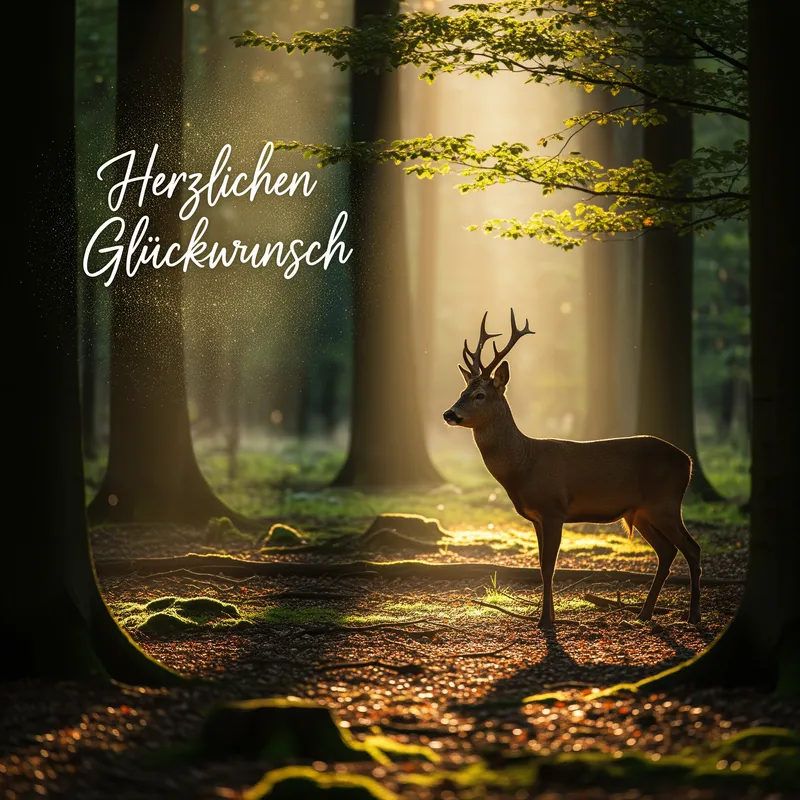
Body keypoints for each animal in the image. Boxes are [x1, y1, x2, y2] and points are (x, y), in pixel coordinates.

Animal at [443, 309, 701, 629]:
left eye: (480, 395)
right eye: (462, 390)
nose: (449, 413)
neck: (524, 465)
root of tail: (687, 461)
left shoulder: (554, 509)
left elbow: (549, 567)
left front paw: (545, 620)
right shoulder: (536, 518)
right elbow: (542, 566)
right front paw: (548, 616)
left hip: (665, 503)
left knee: (692, 548)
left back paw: (693, 615)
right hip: (641, 512)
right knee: (667, 552)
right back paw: (644, 614)